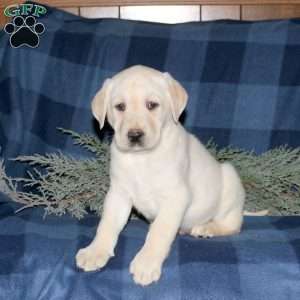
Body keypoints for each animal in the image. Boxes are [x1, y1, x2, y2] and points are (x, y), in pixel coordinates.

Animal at [76, 65, 245, 286]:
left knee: (233, 224)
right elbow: (107, 224)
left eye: (152, 105)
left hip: (230, 185)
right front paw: (95, 251)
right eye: (120, 106)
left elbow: (159, 231)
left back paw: (207, 228)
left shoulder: (175, 197)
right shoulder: (118, 195)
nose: (135, 135)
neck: (142, 158)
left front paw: (146, 263)